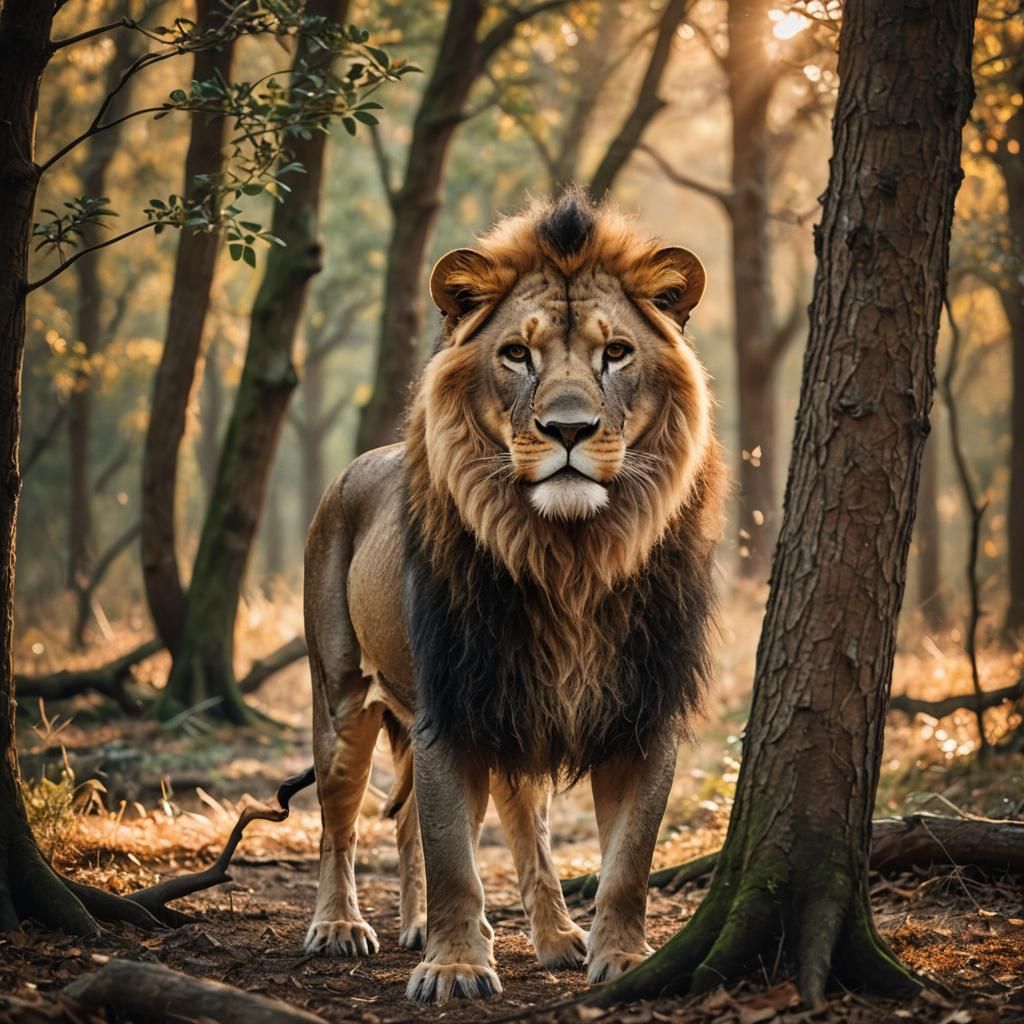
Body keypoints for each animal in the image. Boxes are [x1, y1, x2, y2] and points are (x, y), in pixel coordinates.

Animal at [303, 188, 725, 1004]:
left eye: (615, 353)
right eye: (516, 354)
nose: (568, 429)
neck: (570, 559)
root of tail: (349, 470)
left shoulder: (643, 710)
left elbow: (628, 863)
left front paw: (625, 959)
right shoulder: (449, 706)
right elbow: (452, 858)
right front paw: (455, 966)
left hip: (514, 712)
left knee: (505, 826)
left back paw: (542, 936)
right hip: (342, 702)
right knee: (341, 822)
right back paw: (340, 925)